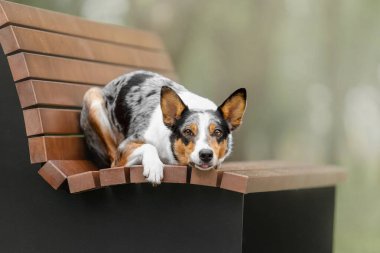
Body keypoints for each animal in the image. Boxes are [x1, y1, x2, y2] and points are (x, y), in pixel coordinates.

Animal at [80, 70, 246, 185]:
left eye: (217, 132)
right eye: (187, 131)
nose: (206, 154)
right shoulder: (124, 148)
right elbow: (148, 146)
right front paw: (154, 167)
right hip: (92, 96)